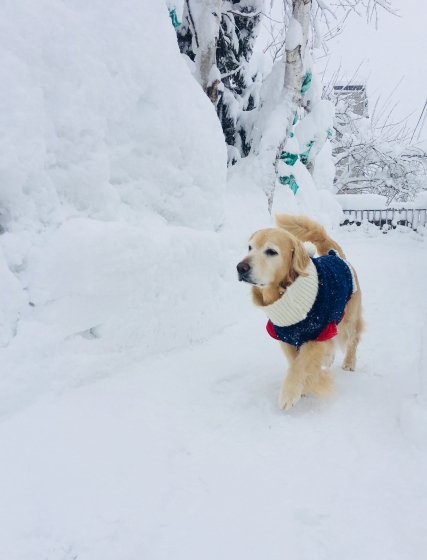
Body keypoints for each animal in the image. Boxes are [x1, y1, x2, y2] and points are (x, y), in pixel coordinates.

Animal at [237, 214, 364, 410]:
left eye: (271, 251)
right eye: (250, 247)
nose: (241, 267)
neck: (286, 293)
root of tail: (336, 255)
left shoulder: (318, 333)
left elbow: (301, 363)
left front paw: (290, 393)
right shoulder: (284, 335)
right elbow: (294, 360)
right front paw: (304, 387)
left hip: (348, 319)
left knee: (352, 340)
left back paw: (349, 362)